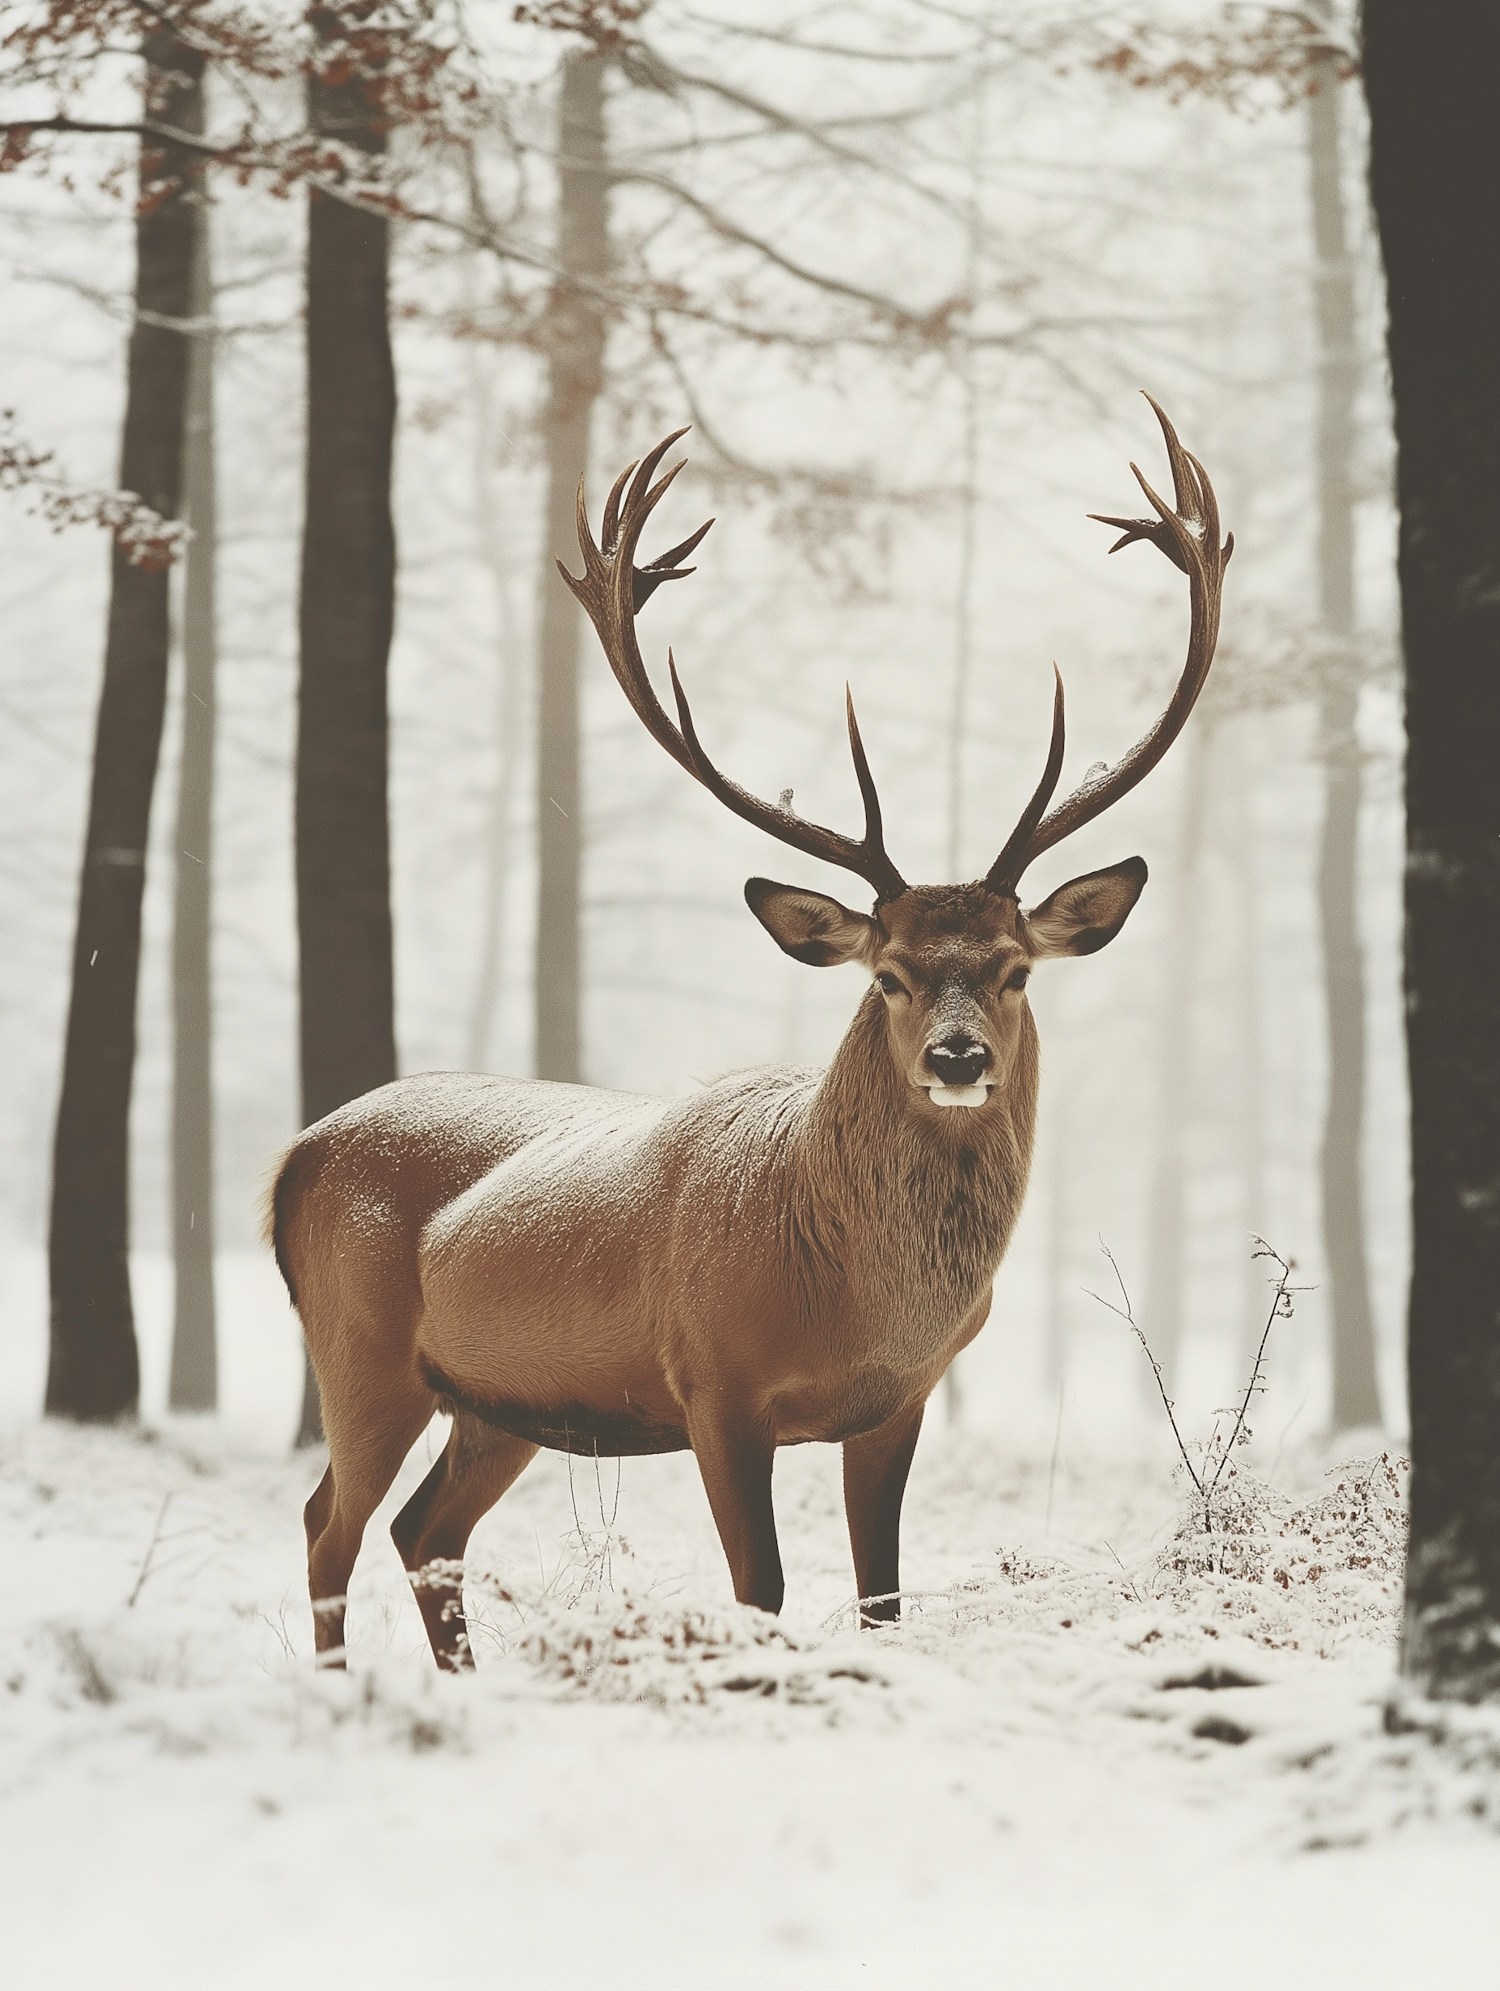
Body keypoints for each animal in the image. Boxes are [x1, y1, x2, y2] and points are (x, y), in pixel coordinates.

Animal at [268, 400, 1227, 1664]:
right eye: (888, 975)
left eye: (1016, 970)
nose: (958, 1054)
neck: (848, 1289)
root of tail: (292, 1157)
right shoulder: (711, 1378)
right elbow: (759, 1587)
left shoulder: (902, 1399)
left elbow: (883, 1595)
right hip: (360, 1350)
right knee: (327, 1520)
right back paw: (342, 1685)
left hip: (495, 1398)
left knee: (424, 1528)